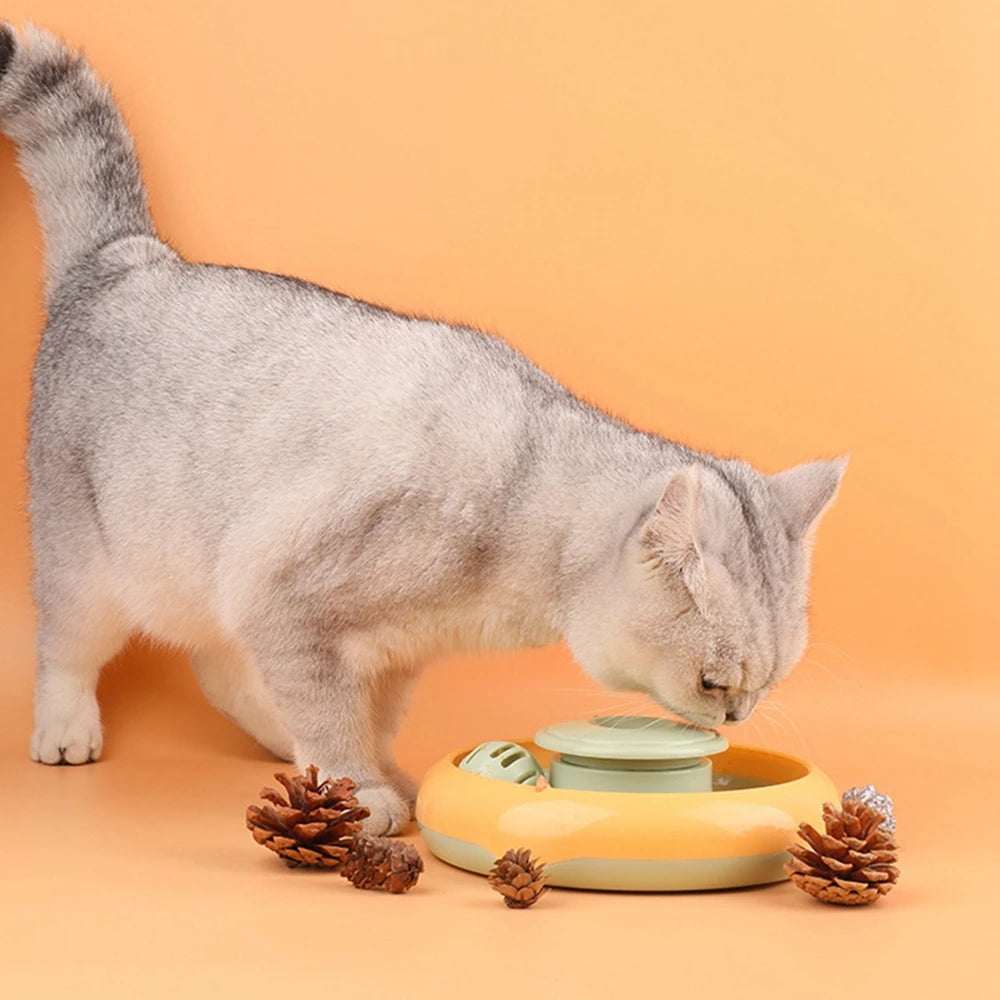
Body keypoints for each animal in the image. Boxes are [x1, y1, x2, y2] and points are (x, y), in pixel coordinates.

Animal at [0, 25, 844, 836]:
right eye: (714, 680)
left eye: (768, 682)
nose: (736, 714)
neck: (519, 517)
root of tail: (126, 255)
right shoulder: (286, 595)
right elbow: (333, 714)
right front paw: (356, 792)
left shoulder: (385, 647)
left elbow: (369, 718)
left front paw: (378, 777)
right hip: (93, 558)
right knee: (69, 647)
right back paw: (70, 730)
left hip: (204, 568)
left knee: (219, 665)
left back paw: (276, 733)